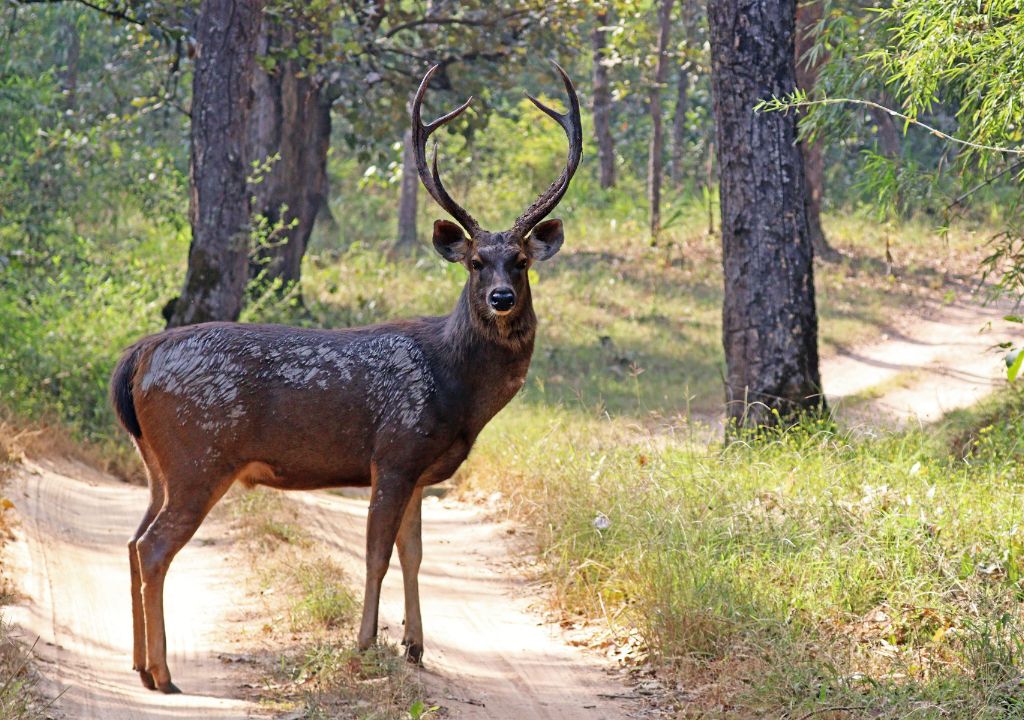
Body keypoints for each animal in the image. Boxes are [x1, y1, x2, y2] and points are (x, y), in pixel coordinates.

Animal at [109, 62, 582, 694]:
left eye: (522, 262)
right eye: (476, 262)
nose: (502, 298)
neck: (456, 390)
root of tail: (139, 356)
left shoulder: (420, 469)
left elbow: (414, 553)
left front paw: (415, 646)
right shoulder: (395, 451)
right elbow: (377, 552)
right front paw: (365, 644)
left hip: (157, 462)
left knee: (133, 540)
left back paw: (140, 664)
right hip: (198, 454)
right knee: (155, 547)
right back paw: (162, 673)